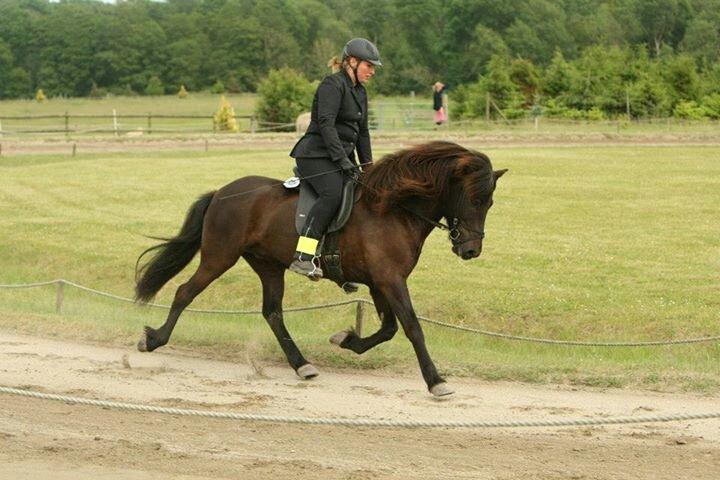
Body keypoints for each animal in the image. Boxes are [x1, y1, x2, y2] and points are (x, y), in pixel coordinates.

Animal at [135, 141, 506, 396]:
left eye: (489, 203)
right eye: (474, 199)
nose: (470, 250)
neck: (395, 209)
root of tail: (221, 193)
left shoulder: (379, 281)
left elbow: (388, 328)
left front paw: (346, 340)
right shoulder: (390, 280)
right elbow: (412, 327)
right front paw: (436, 381)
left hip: (269, 265)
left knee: (272, 312)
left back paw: (302, 366)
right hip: (219, 256)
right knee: (185, 292)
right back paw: (153, 340)